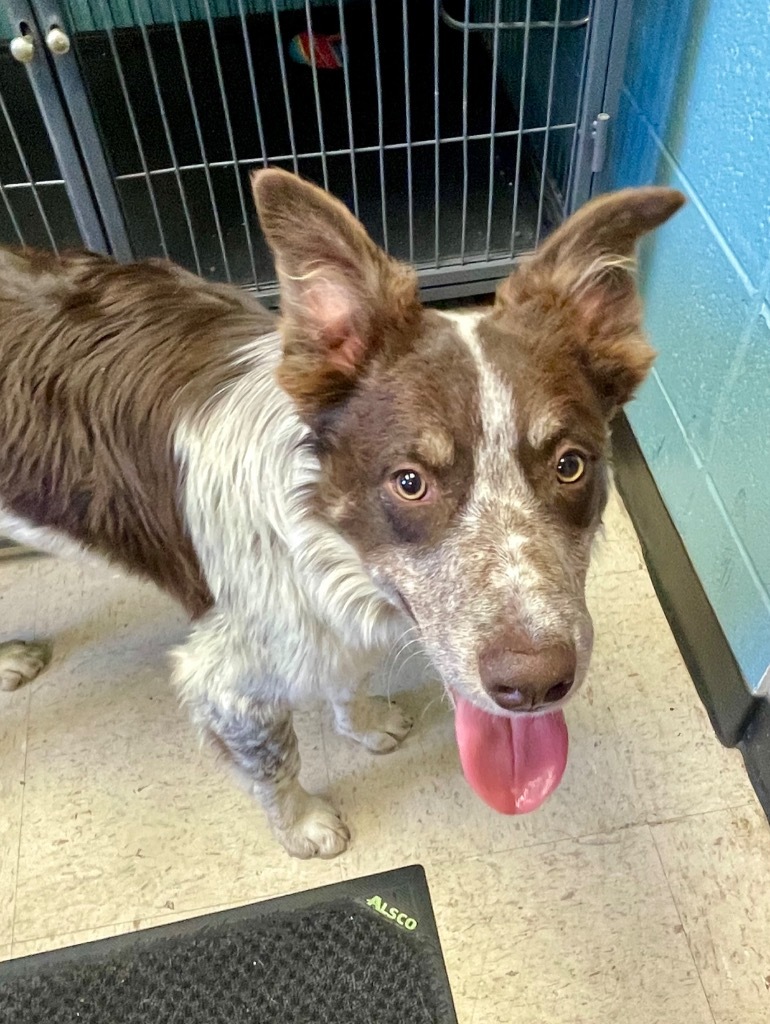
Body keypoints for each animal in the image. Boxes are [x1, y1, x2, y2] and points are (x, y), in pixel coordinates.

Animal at [1, 174, 683, 856]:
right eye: (409, 482)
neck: (330, 548)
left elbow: (347, 677)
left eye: (570, 466)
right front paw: (304, 825)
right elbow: (275, 761)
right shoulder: (228, 680)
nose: (535, 685)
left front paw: (366, 720)